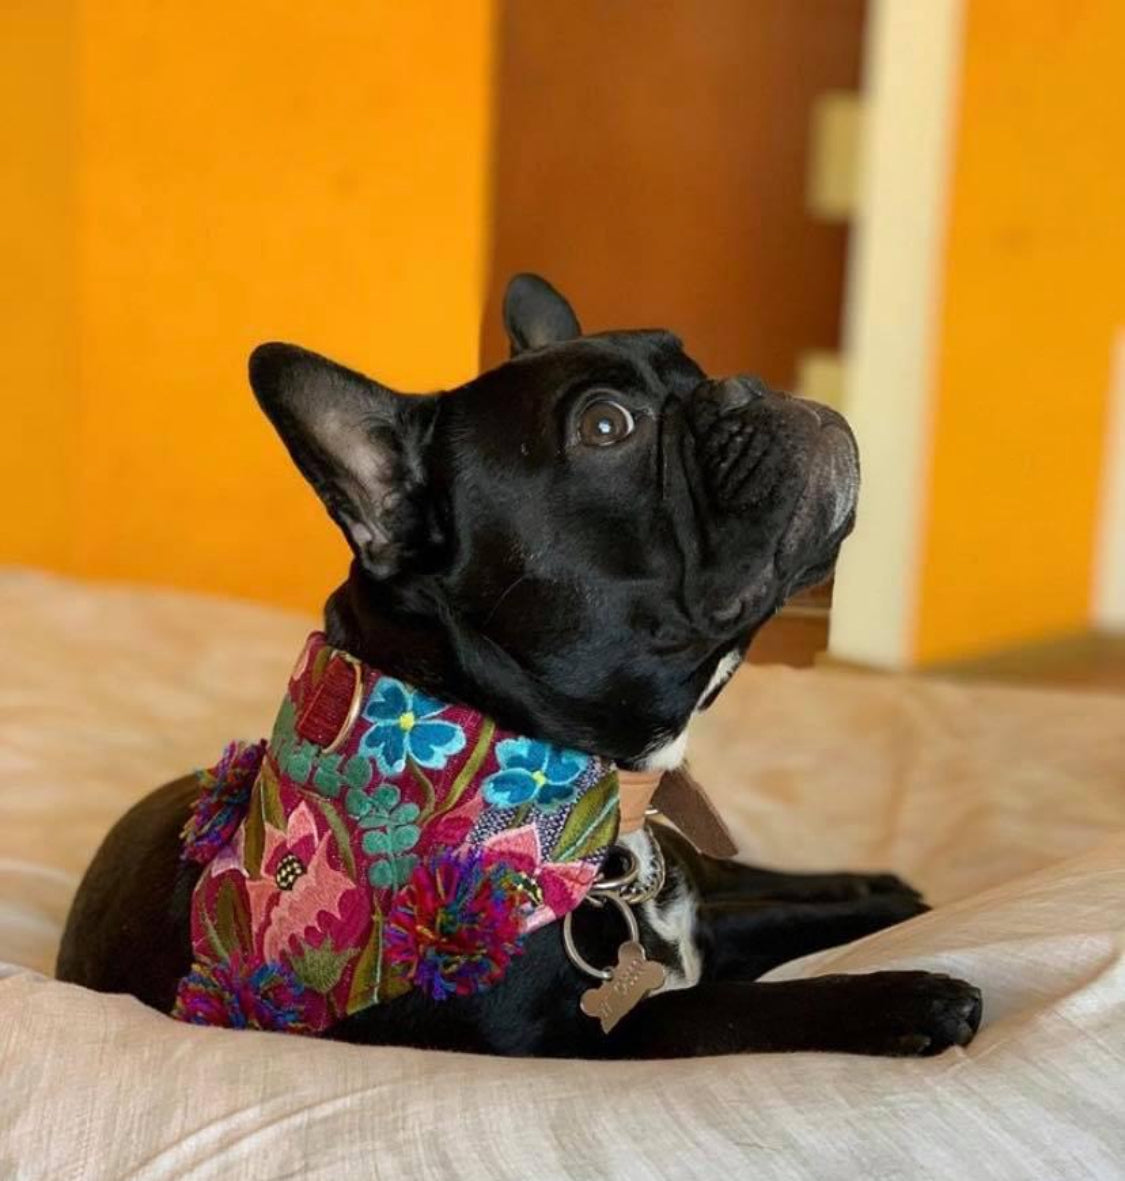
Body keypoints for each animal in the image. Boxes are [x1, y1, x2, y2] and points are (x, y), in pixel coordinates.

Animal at [56, 276, 977, 1062]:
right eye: (606, 425)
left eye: (690, 364)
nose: (741, 385)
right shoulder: (583, 1036)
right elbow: (741, 1005)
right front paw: (905, 995)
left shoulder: (699, 929)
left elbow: (766, 916)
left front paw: (881, 914)